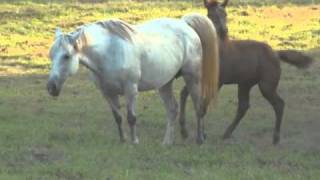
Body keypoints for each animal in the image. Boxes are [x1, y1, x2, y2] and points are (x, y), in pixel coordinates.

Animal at [46, 13, 219, 145]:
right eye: (51, 55)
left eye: (66, 56)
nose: (51, 87)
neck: (109, 52)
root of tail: (185, 24)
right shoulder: (107, 93)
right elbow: (118, 117)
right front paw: (123, 140)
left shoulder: (131, 90)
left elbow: (131, 118)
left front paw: (134, 141)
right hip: (165, 83)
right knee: (172, 109)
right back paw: (167, 142)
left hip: (193, 78)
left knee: (198, 107)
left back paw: (199, 139)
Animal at [180, 0, 316, 144]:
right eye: (211, 14)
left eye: (225, 14)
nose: (223, 31)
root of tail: (276, 53)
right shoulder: (198, 78)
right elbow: (185, 95)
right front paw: (185, 131)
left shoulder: (218, 81)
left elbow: (203, 105)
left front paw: (201, 136)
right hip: (245, 84)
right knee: (244, 106)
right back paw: (227, 134)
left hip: (266, 85)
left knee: (278, 104)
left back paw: (275, 138)